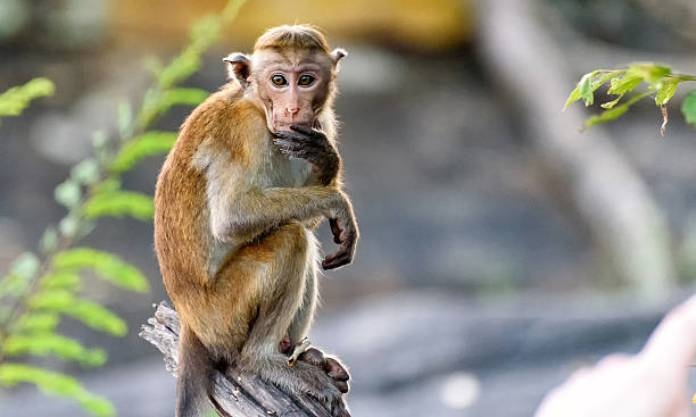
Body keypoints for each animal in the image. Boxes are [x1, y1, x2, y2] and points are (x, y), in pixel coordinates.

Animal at [153, 25, 358, 417]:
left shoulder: (318, 125)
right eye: (278, 80)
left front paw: (327, 160)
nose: (292, 107)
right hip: (223, 317)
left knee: (296, 232)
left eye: (306, 79)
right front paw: (338, 203)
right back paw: (262, 360)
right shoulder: (244, 132)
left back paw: (302, 354)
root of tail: (190, 323)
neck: (258, 106)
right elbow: (233, 217)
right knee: (290, 238)